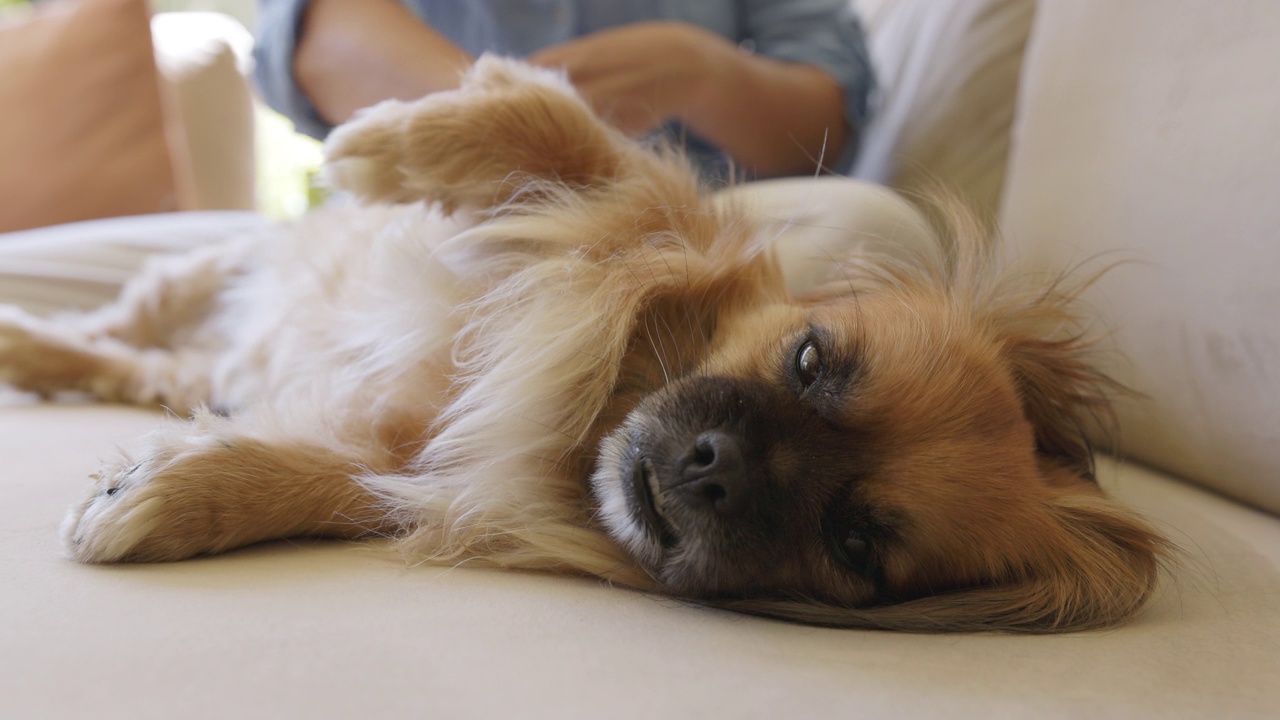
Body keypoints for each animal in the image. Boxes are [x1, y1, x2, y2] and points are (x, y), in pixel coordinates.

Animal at [0, 57, 1172, 627]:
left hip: (186, 360)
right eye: (811, 361)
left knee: (131, 361)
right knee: (120, 321)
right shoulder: (613, 214)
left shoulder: (400, 460)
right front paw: (386, 141)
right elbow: (571, 140)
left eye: (852, 544)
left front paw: (172, 499)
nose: (711, 469)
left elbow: (326, 482)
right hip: (203, 274)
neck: (590, 415)